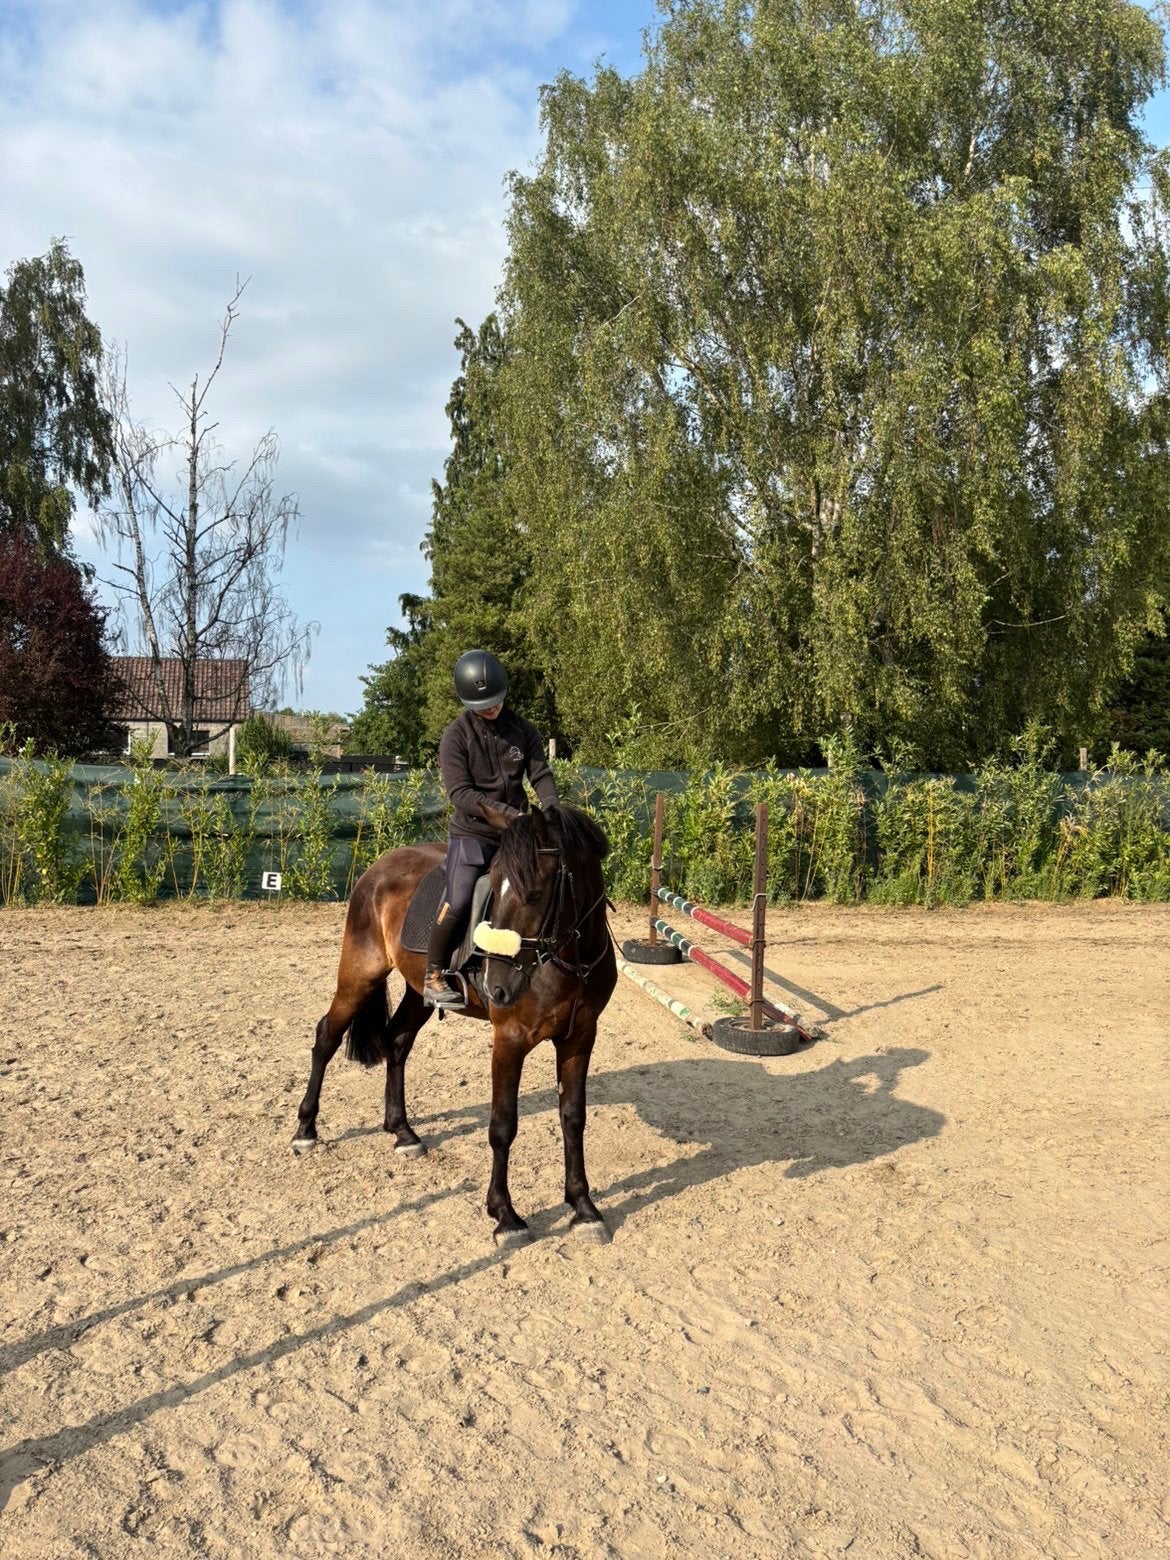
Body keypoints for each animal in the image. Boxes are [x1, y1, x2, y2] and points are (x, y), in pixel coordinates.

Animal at [292, 801, 618, 1245]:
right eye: (494, 888)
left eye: (534, 894)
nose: (498, 987)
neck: (570, 958)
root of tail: (378, 867)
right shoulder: (510, 1039)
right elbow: (502, 1125)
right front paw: (505, 1215)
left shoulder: (580, 1038)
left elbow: (573, 1118)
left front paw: (584, 1209)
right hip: (360, 976)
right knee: (326, 1036)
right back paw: (305, 1131)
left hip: (418, 994)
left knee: (397, 1041)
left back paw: (402, 1132)